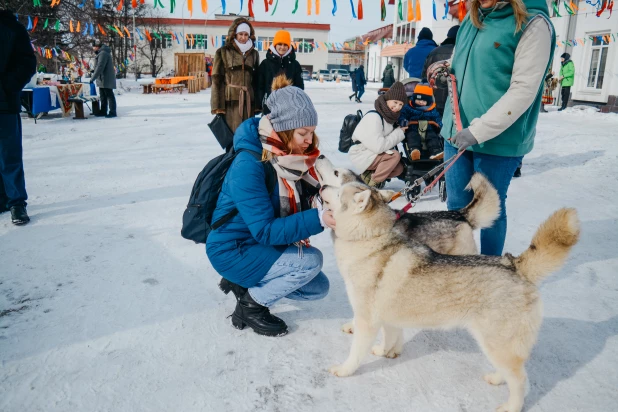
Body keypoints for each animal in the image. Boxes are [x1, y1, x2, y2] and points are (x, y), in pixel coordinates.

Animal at [320, 180, 580, 412]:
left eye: (339, 190)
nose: (321, 187)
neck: (370, 240)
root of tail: (514, 264)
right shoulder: (387, 316)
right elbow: (390, 336)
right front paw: (386, 351)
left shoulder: (367, 320)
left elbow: (355, 353)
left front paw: (344, 370)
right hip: (498, 345)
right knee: (511, 371)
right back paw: (497, 378)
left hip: (497, 342)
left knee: (520, 380)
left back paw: (511, 407)